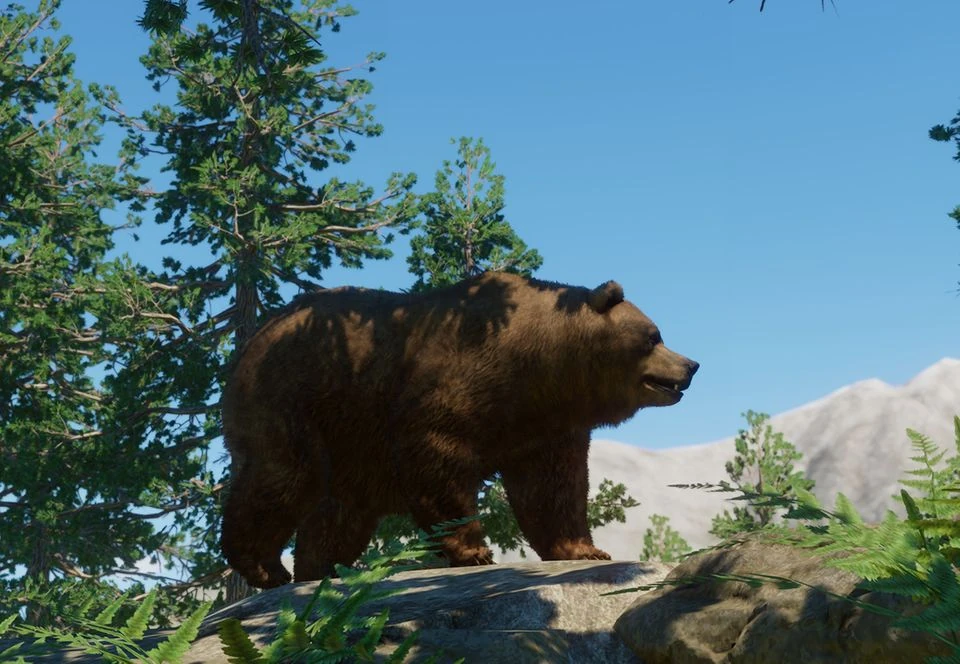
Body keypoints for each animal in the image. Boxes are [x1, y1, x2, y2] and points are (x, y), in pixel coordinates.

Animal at [220, 271, 698, 588]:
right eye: (653, 336)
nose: (690, 365)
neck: (542, 365)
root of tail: (253, 337)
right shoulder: (459, 382)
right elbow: (437, 457)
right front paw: (473, 550)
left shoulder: (544, 424)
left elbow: (552, 487)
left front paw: (584, 548)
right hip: (295, 396)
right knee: (281, 479)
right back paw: (266, 567)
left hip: (348, 440)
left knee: (338, 514)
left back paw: (322, 569)